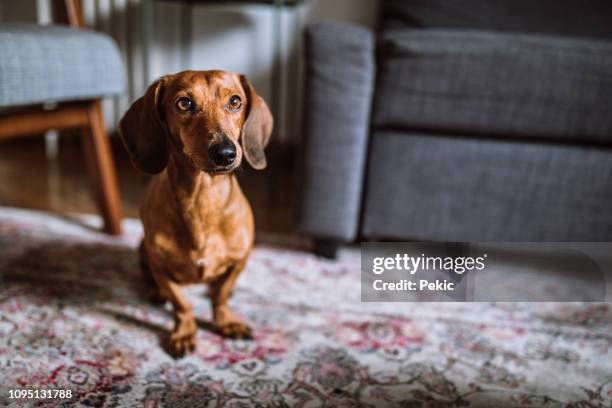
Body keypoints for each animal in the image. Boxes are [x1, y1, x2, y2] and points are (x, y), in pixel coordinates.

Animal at [118, 71, 272, 356]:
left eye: (235, 101)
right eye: (184, 103)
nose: (225, 153)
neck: (203, 200)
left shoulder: (239, 260)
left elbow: (220, 295)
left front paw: (226, 321)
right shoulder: (161, 268)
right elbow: (181, 304)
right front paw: (185, 332)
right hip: (143, 249)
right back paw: (155, 292)